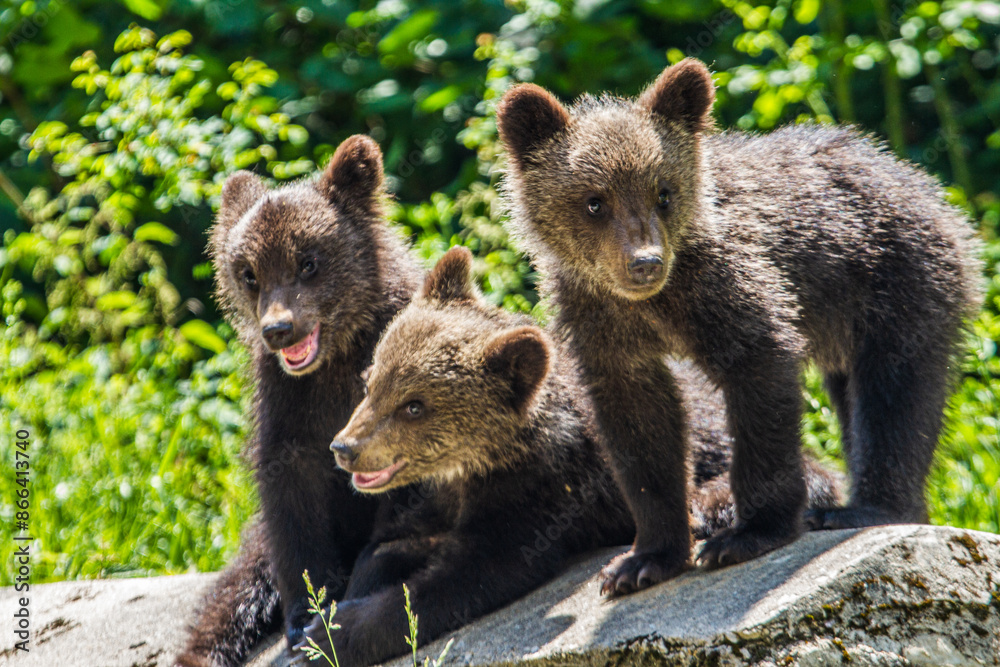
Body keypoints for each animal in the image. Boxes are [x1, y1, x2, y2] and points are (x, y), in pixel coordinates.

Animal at [175, 135, 424, 667]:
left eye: (308, 261)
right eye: (249, 272)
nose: (278, 329)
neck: (338, 357)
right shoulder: (287, 398)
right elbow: (291, 491)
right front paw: (305, 612)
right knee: (229, 600)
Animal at [292, 247, 843, 666]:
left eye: (414, 405)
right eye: (372, 381)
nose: (346, 449)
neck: (478, 466)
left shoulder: (542, 492)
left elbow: (473, 572)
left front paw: (333, 636)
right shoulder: (439, 497)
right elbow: (389, 547)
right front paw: (331, 610)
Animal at [494, 58, 982, 596]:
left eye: (663, 192)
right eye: (594, 200)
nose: (645, 263)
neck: (656, 304)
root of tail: (924, 186)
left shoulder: (732, 288)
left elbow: (761, 379)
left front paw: (748, 532)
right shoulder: (604, 327)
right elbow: (640, 429)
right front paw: (643, 560)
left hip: (896, 280)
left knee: (894, 395)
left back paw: (867, 507)